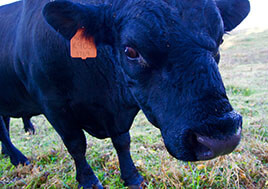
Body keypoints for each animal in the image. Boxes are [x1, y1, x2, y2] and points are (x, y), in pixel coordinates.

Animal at [0, 0, 249, 188]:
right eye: (130, 51)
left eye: (220, 39)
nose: (221, 138)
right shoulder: (54, 106)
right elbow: (76, 144)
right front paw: (88, 181)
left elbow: (122, 141)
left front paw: (132, 177)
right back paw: (18, 157)